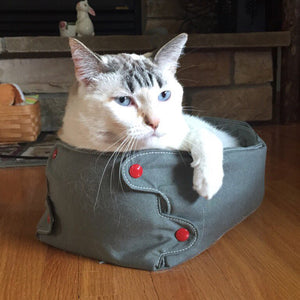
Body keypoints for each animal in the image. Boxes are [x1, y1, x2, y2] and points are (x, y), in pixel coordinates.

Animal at [59, 34, 239, 199]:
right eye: (123, 100)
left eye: (164, 95)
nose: (155, 122)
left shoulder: (185, 132)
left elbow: (205, 135)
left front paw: (208, 183)